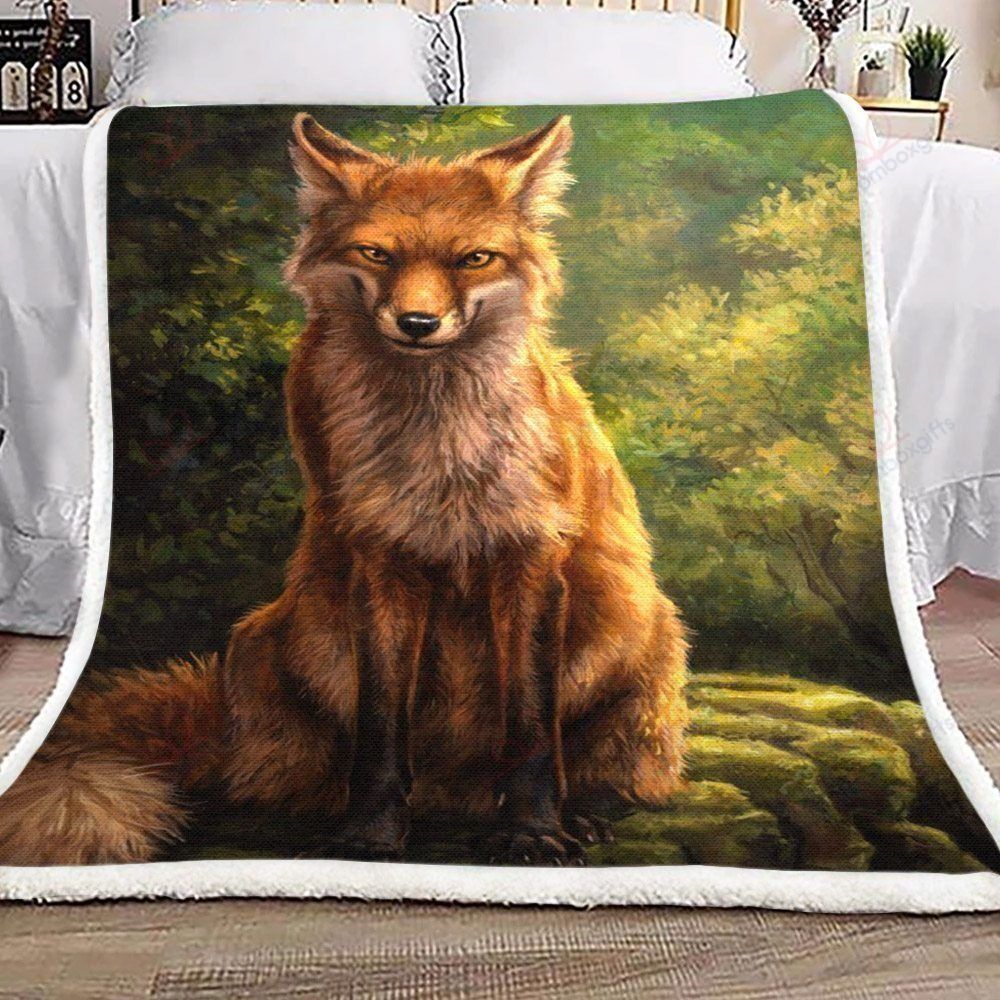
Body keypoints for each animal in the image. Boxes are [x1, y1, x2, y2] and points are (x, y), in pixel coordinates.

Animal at [0, 113, 688, 867]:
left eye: (473, 259)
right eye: (376, 253)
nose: (417, 323)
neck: (438, 451)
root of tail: (455, 792)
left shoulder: (528, 557)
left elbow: (532, 728)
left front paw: (532, 833)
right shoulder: (379, 558)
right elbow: (381, 726)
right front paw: (369, 838)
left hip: (642, 630)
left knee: (610, 769)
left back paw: (584, 810)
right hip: (269, 640)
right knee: (284, 776)